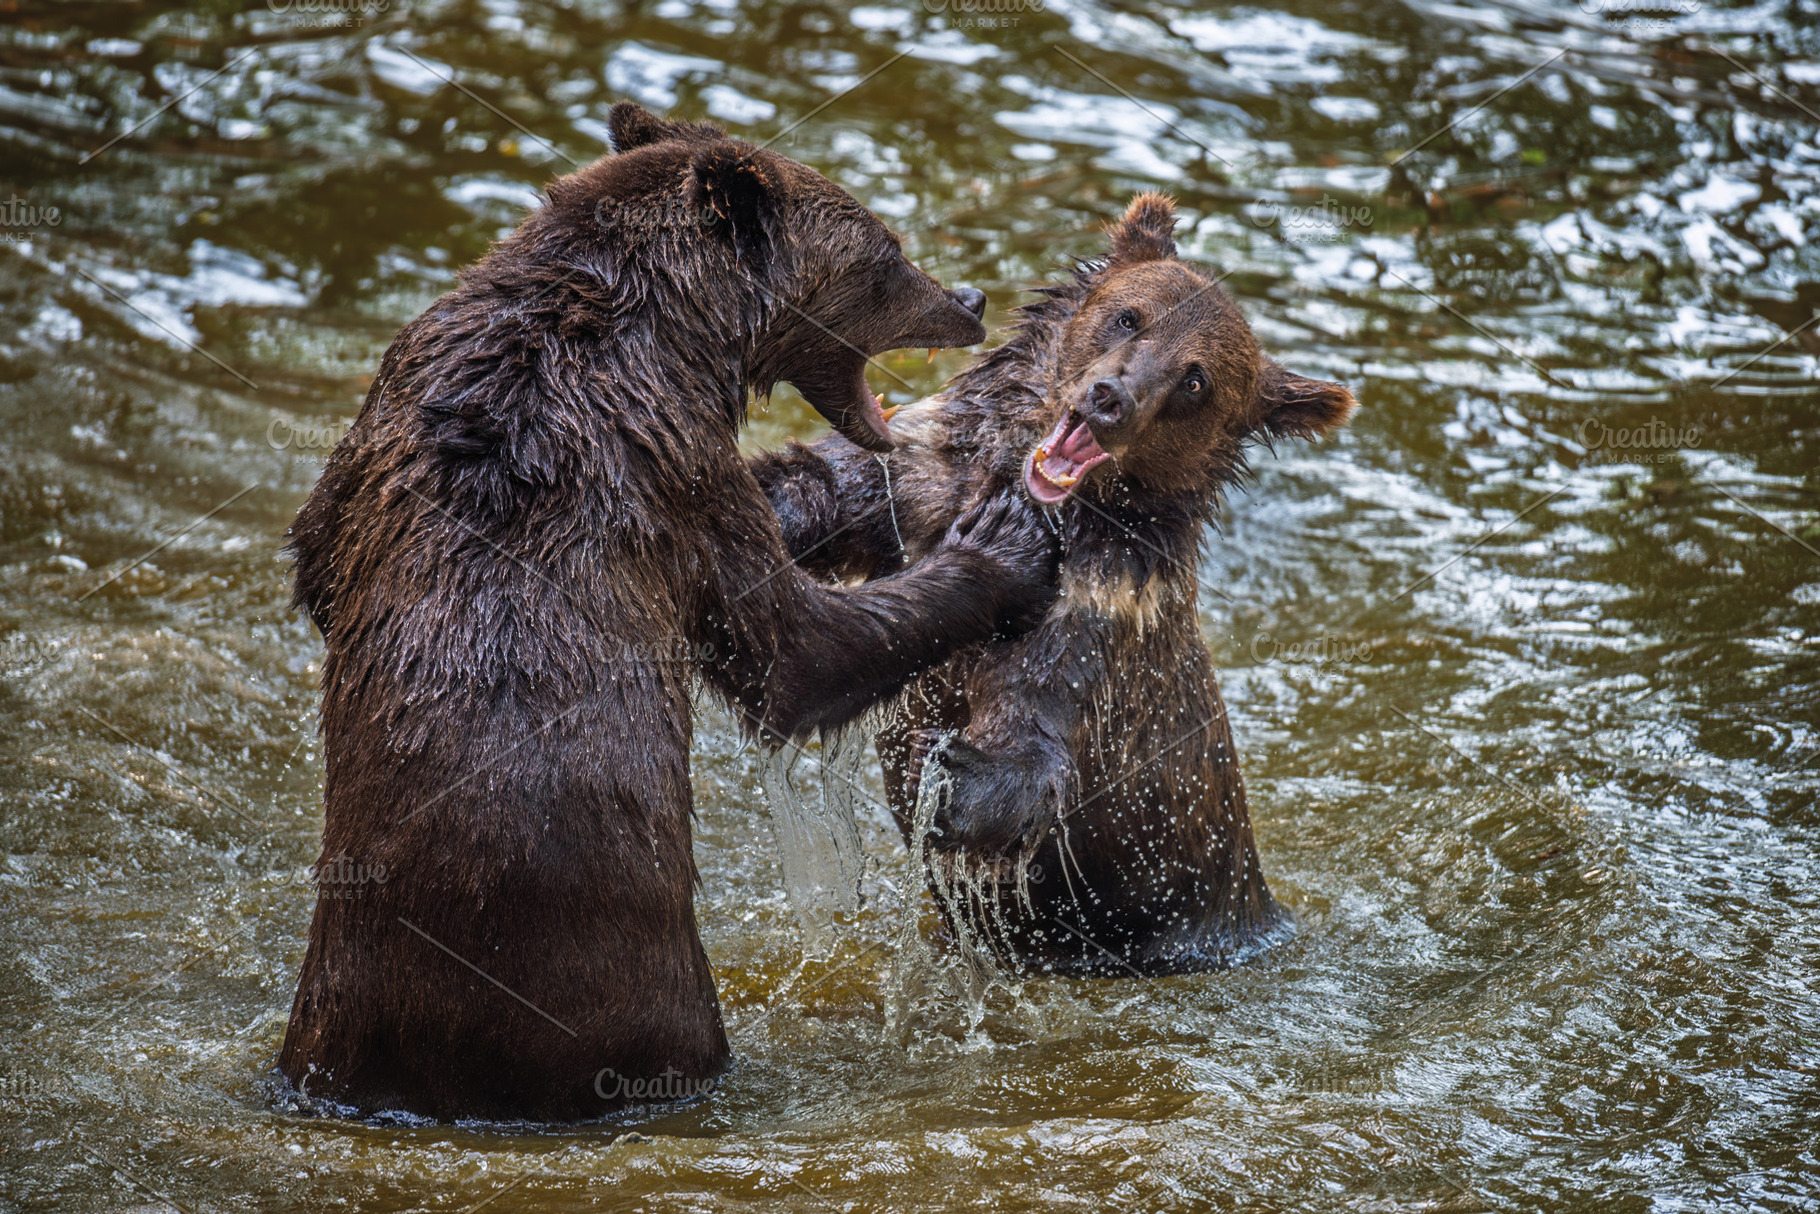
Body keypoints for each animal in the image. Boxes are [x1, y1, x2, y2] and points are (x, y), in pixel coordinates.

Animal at [277, 101, 1060, 1122]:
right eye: (885, 252)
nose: (968, 294)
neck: (662, 323)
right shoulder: (676, 465)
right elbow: (793, 652)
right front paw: (1007, 541)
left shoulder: (386, 407)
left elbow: (316, 554)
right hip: (639, 984)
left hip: (334, 1008)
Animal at [750, 194, 1356, 975]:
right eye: (1129, 316)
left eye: (1196, 381)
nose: (1109, 397)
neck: (1023, 495)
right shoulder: (917, 481)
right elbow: (826, 483)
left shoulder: (1095, 614)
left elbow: (1032, 753)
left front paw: (944, 760)